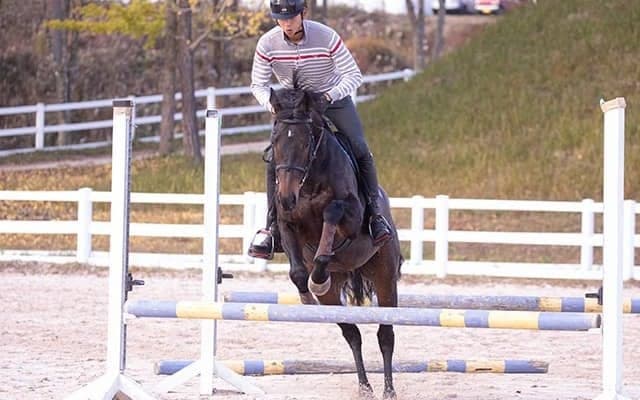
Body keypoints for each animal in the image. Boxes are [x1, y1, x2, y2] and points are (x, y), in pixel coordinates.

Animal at [268, 87, 403, 400]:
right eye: (275, 141)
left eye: (305, 143)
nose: (286, 198)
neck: (307, 182)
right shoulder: (287, 224)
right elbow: (297, 271)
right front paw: (308, 292)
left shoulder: (350, 217)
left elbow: (331, 215)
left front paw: (318, 277)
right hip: (336, 295)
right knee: (352, 334)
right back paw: (364, 387)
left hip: (385, 276)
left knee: (385, 334)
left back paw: (388, 389)